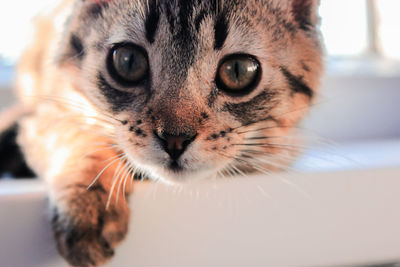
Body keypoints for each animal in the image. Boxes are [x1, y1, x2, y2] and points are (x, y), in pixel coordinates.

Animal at [7, 0, 324, 266]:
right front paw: (89, 205)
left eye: (237, 70)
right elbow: (77, 137)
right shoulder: (45, 114)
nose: (175, 139)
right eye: (128, 61)